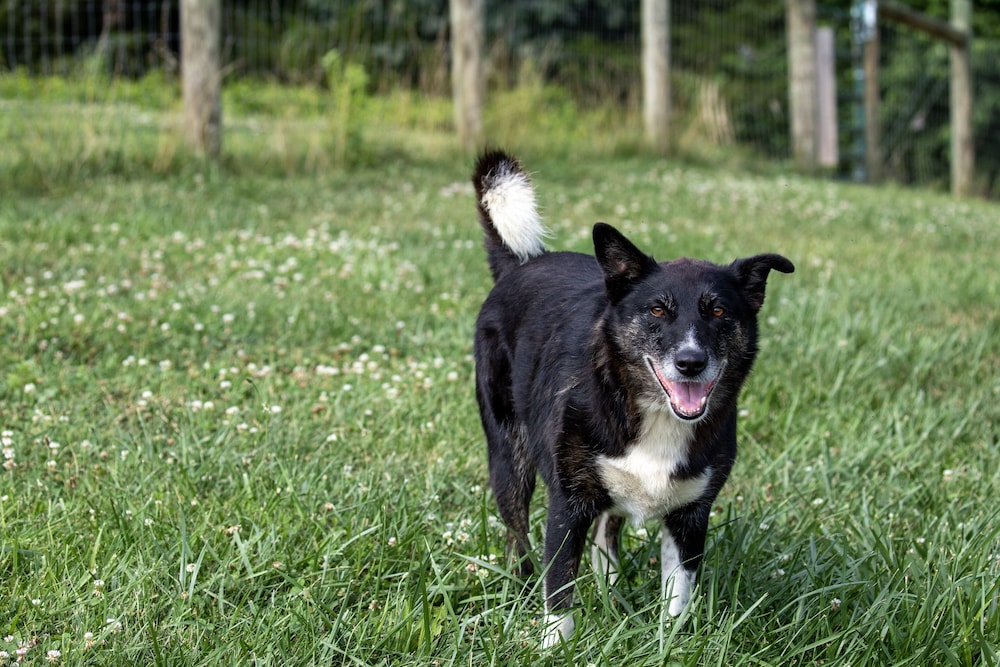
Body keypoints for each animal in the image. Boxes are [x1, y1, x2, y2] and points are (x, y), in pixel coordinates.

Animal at [472, 151, 792, 648]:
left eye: (719, 311)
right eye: (658, 309)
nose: (690, 362)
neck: (648, 409)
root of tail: (521, 264)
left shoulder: (689, 516)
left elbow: (678, 594)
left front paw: (670, 643)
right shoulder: (568, 503)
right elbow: (559, 586)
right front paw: (556, 646)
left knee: (607, 534)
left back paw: (612, 595)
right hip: (510, 456)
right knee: (518, 534)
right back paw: (522, 590)